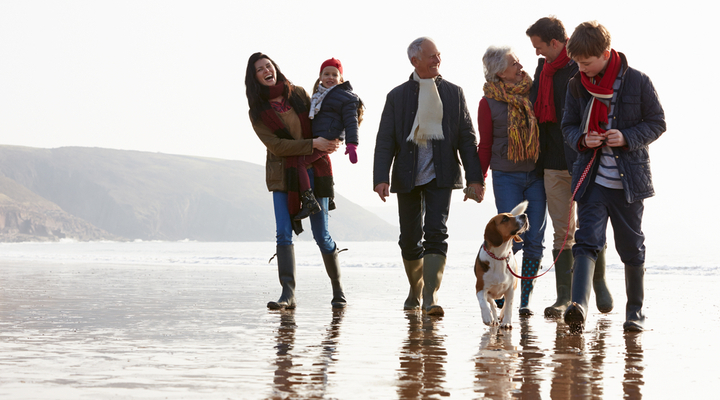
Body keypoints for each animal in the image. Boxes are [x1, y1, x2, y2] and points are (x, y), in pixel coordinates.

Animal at [476, 200, 532, 328]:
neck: (500, 256)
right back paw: (494, 318)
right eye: (505, 219)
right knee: (492, 303)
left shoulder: (510, 289)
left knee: (505, 304)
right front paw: (487, 317)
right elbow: (483, 303)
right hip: (489, 293)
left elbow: (508, 307)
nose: (525, 215)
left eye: (511, 216)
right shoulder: (480, 287)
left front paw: (506, 322)